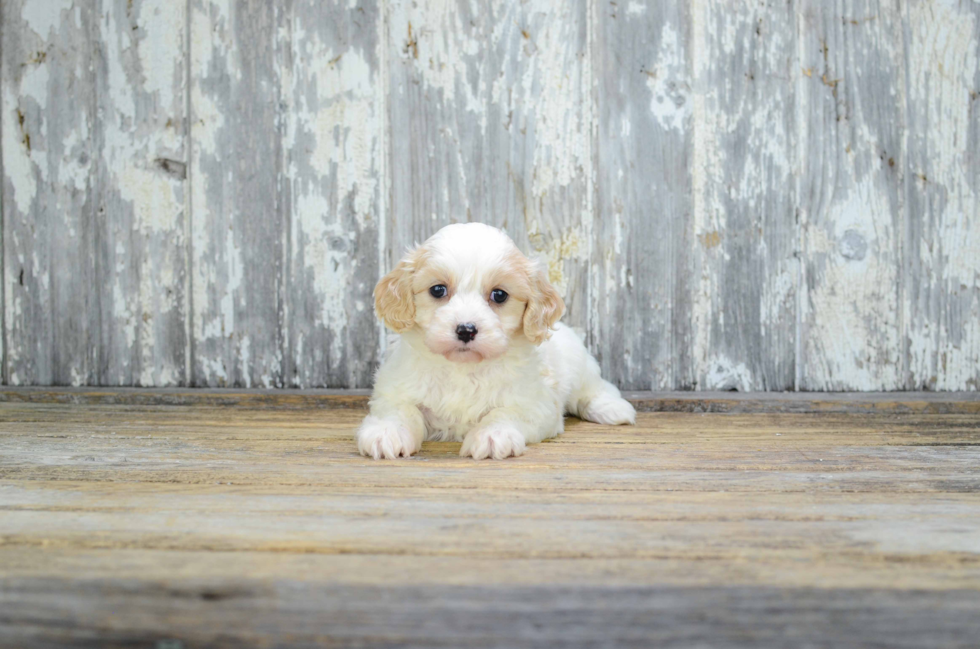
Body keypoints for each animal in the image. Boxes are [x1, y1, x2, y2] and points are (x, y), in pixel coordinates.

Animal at [358, 224, 636, 460]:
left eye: (499, 295)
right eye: (438, 290)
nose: (466, 330)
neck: (463, 368)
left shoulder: (535, 403)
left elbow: (503, 412)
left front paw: (492, 436)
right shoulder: (394, 389)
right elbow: (401, 410)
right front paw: (386, 433)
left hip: (581, 366)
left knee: (594, 389)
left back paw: (613, 409)